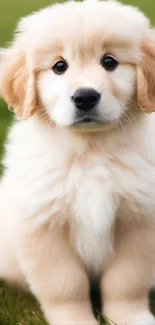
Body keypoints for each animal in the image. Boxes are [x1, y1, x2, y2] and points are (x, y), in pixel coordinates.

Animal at [0, 0, 155, 322]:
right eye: (59, 66)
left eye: (109, 62)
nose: (85, 97)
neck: (90, 149)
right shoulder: (42, 225)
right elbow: (65, 285)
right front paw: (76, 320)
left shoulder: (139, 221)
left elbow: (127, 282)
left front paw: (131, 317)